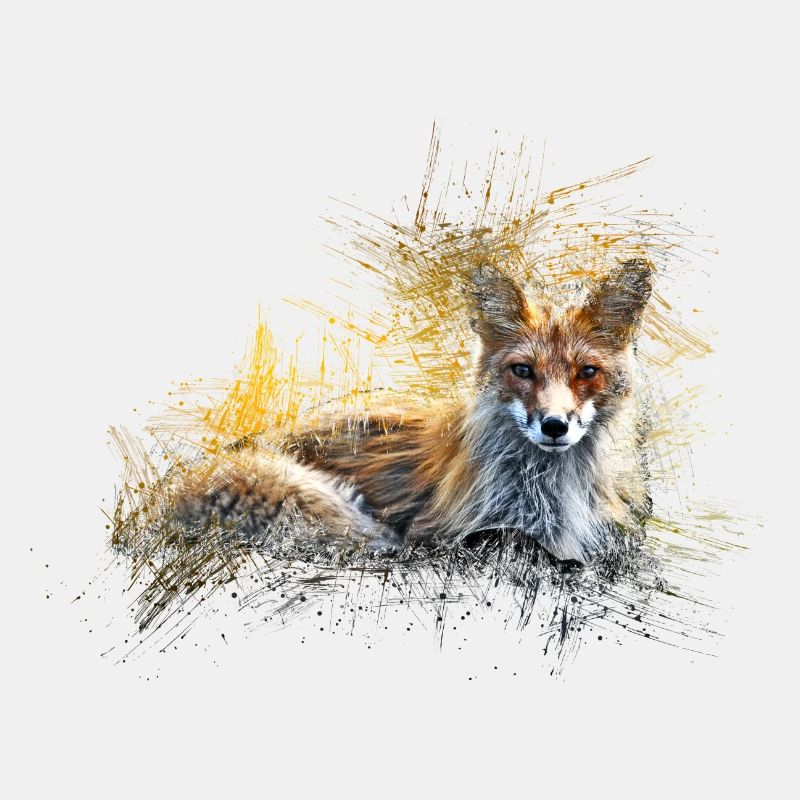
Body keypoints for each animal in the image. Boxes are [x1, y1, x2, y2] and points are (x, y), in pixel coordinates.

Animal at [172, 259, 653, 565]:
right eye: (523, 370)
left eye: (586, 372)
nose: (554, 426)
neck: (553, 497)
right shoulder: (441, 532)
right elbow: (513, 542)